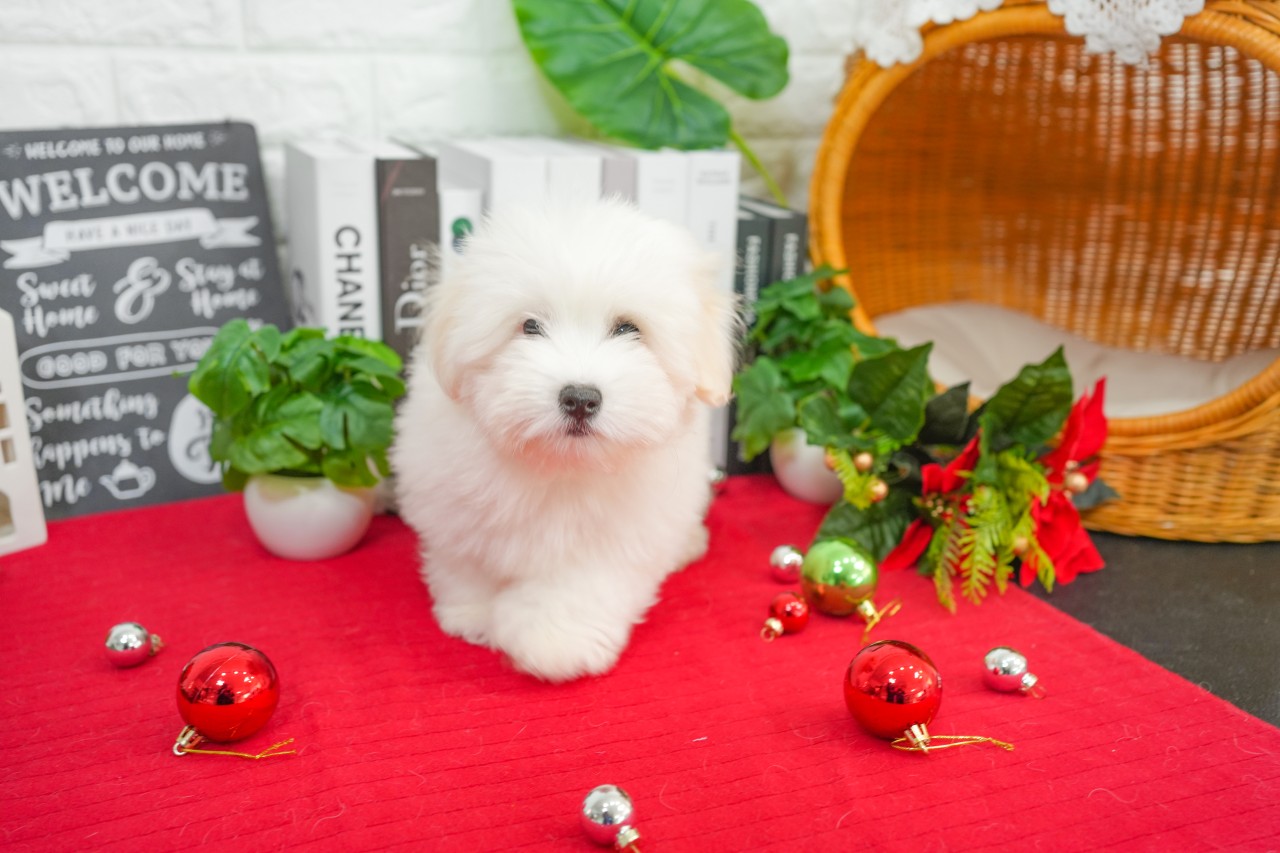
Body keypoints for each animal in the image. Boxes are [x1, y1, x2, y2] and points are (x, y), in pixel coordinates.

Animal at [386, 197, 742, 676]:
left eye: (628, 328)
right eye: (530, 326)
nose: (580, 398)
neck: (560, 464)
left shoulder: (622, 536)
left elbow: (581, 585)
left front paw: (552, 640)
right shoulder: (452, 504)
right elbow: (466, 560)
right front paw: (472, 612)